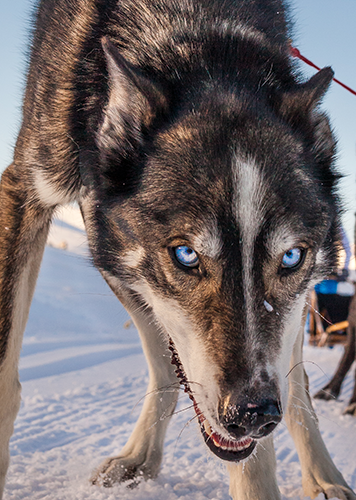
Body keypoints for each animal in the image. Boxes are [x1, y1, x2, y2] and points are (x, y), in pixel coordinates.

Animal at [0, 0, 356, 498]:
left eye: (291, 257)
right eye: (186, 255)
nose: (254, 413)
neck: (196, 31)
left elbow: (259, 447)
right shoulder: (24, 188)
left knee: (297, 383)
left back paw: (323, 476)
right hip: (114, 257)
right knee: (169, 365)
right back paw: (141, 456)